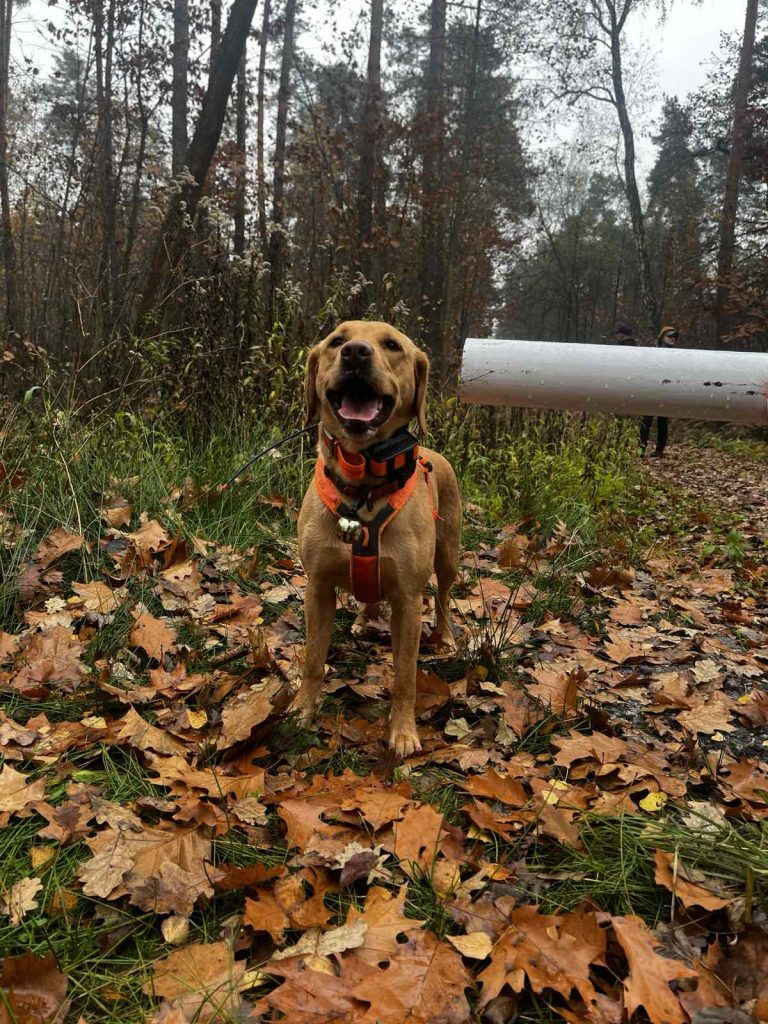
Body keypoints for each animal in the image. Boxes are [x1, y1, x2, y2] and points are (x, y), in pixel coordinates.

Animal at [292, 320, 461, 756]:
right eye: (336, 340)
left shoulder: (408, 600)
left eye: (392, 345)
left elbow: (404, 676)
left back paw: (446, 636)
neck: (364, 485)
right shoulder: (317, 587)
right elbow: (312, 659)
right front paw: (302, 709)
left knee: (444, 595)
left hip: (448, 555)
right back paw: (363, 619)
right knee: (368, 593)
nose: (354, 352)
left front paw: (402, 732)